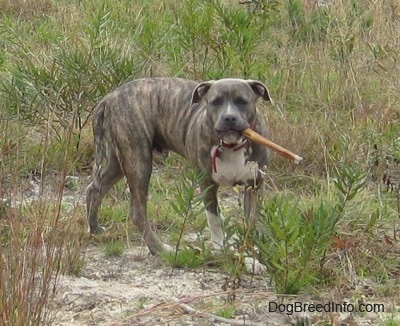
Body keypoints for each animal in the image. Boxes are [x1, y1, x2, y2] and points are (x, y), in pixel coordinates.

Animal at [86, 77, 270, 258]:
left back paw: (94, 228)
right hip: (138, 161)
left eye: (242, 101)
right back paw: (158, 248)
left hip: (119, 161)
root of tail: (108, 98)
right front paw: (220, 249)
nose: (229, 117)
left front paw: (251, 251)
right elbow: (215, 220)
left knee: (95, 188)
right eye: (215, 102)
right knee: (137, 212)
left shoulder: (254, 187)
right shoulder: (207, 184)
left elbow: (252, 221)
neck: (231, 145)